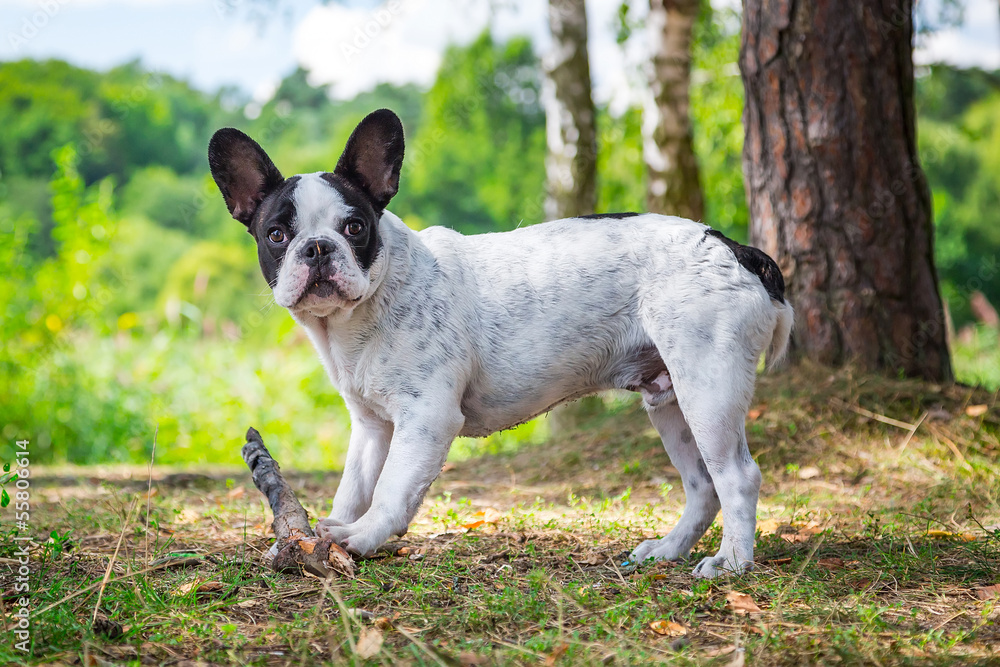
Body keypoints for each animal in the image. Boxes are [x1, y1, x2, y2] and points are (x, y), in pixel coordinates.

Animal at [207, 109, 792, 580]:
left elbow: (393, 488)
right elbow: (354, 486)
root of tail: (733, 248)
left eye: (354, 227)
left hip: (707, 388)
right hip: (670, 400)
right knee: (702, 485)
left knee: (737, 476)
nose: (317, 247)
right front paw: (322, 535)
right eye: (277, 235)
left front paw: (361, 537)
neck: (360, 314)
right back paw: (669, 549)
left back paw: (732, 563)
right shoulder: (372, 428)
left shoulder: (427, 418)